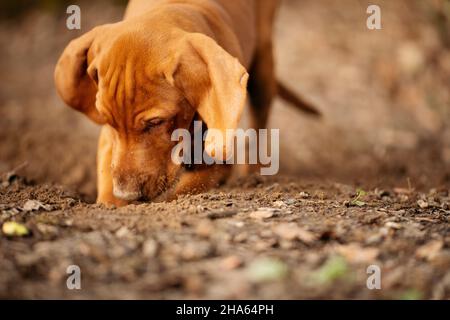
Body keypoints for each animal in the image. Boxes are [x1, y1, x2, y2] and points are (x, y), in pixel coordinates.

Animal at [54, 0, 318, 206]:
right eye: (107, 120)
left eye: (156, 122)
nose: (126, 194)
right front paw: (112, 202)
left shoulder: (215, 158)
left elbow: (180, 190)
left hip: (263, 60)